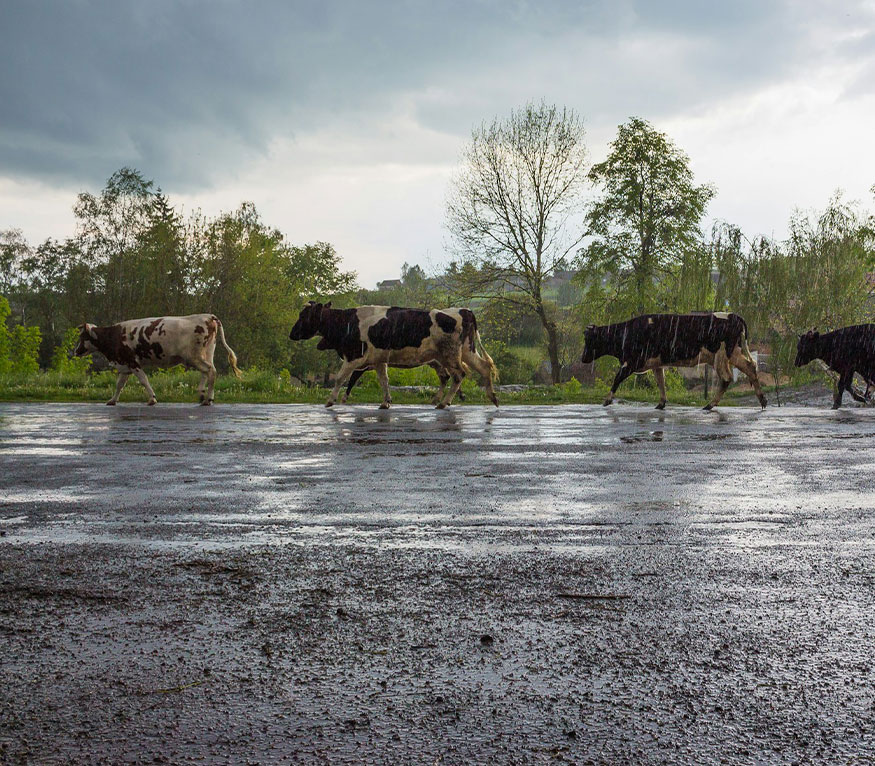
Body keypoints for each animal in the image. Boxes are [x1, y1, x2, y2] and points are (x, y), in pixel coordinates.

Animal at [73, 314, 242, 406]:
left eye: (82, 336)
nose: (75, 351)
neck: (113, 336)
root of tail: (208, 316)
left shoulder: (132, 362)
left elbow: (143, 380)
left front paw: (152, 399)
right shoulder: (125, 365)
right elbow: (119, 384)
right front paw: (112, 400)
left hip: (194, 356)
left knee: (210, 371)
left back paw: (208, 399)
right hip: (207, 353)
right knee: (206, 372)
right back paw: (202, 394)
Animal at [289, 302, 498, 409]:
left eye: (303, 315)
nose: (291, 334)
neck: (348, 322)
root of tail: (465, 310)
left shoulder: (355, 357)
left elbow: (341, 378)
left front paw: (330, 400)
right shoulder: (378, 360)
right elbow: (384, 380)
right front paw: (385, 402)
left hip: (450, 354)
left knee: (459, 375)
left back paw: (444, 402)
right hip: (466, 350)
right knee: (482, 367)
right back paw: (492, 397)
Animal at [581, 312, 767, 410]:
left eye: (589, 340)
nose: (582, 359)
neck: (627, 333)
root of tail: (732, 315)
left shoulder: (631, 363)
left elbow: (617, 378)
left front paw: (607, 400)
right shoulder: (656, 363)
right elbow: (660, 382)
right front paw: (661, 403)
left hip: (721, 355)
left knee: (727, 378)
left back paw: (710, 404)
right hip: (733, 353)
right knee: (750, 367)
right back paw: (762, 400)